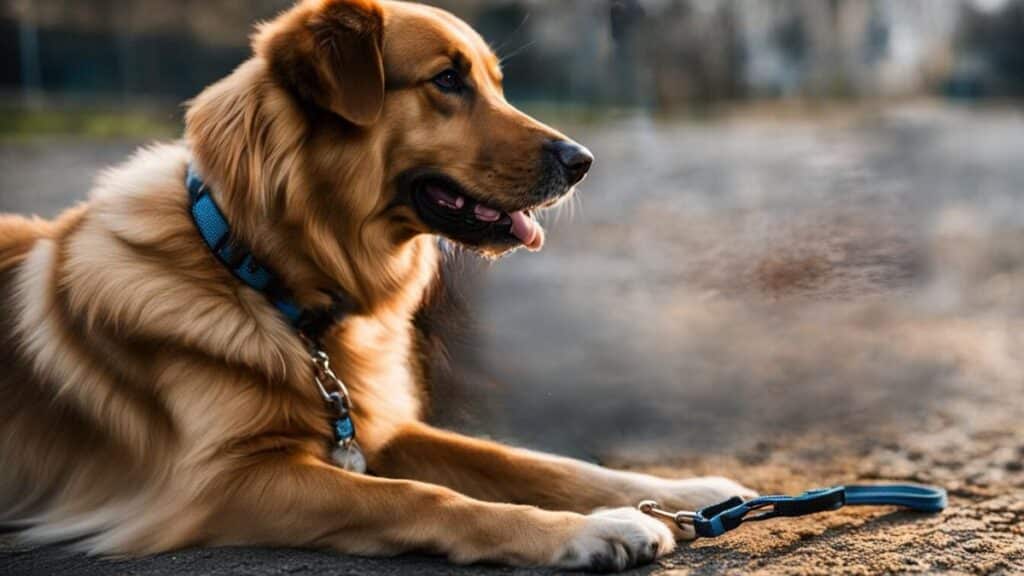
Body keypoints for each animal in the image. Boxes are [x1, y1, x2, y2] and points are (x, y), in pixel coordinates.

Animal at [0, 1, 753, 569]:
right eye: (447, 79)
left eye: (494, 82)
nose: (583, 161)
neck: (256, 272)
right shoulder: (222, 483)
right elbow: (419, 498)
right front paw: (592, 530)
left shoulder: (382, 428)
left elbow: (535, 461)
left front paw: (683, 493)